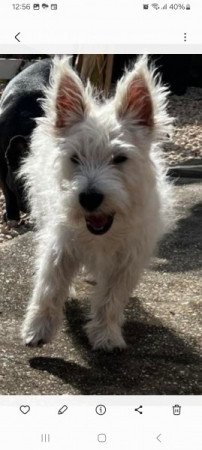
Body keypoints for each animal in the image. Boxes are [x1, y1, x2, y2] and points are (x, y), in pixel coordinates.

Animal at [20, 55, 174, 352]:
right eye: (75, 158)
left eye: (119, 158)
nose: (89, 198)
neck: (101, 233)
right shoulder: (60, 244)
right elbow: (49, 286)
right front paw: (37, 329)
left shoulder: (128, 257)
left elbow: (112, 297)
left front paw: (105, 334)